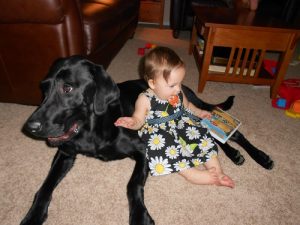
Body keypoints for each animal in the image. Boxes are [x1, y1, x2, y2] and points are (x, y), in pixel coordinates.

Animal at [21, 55, 274, 224]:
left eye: (68, 88)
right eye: (43, 88)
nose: (31, 127)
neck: (93, 130)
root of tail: (186, 88)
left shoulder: (143, 150)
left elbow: (132, 184)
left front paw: (139, 216)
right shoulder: (65, 153)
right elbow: (44, 187)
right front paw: (33, 216)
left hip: (196, 111)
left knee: (232, 133)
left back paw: (260, 157)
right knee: (219, 139)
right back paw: (234, 155)